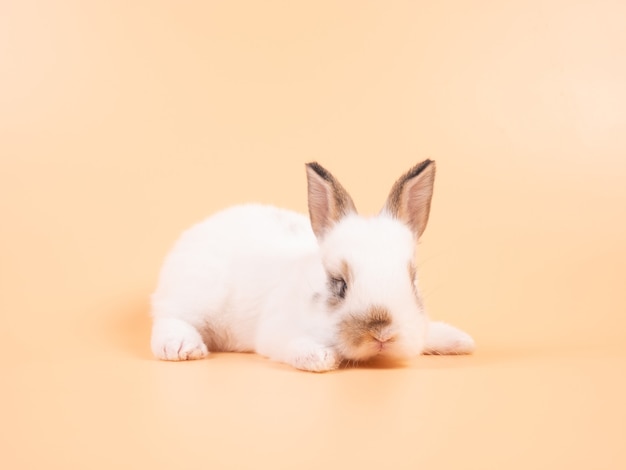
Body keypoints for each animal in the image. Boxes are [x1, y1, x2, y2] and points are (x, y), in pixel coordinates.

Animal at [151, 162, 472, 370]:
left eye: (412, 281)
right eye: (339, 284)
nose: (382, 334)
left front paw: (460, 340)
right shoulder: (276, 332)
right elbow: (293, 345)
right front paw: (320, 358)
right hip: (193, 296)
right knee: (168, 319)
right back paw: (181, 348)